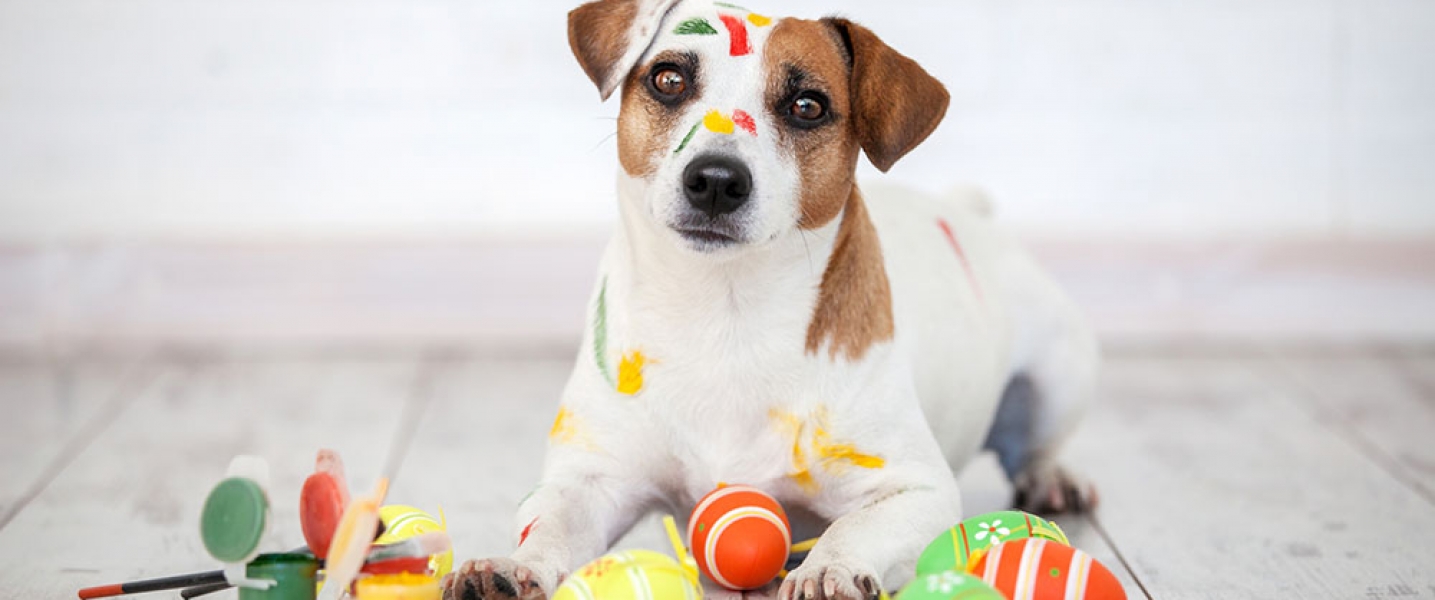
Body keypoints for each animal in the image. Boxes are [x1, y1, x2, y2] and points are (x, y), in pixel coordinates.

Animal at [444, 1, 1099, 598]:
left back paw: (1053, 477)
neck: (725, 314)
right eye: (668, 79)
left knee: (1035, 445)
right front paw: (511, 567)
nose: (715, 180)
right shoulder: (590, 478)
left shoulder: (917, 490)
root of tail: (966, 209)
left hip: (1057, 379)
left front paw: (830, 570)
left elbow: (854, 529)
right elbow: (550, 525)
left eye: (808, 106)